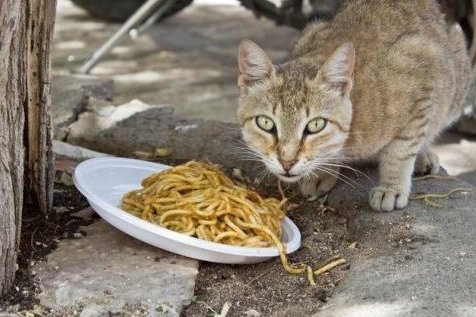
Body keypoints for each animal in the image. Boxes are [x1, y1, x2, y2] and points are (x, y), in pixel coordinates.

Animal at [236, 0, 470, 212]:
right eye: (265, 123)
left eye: (315, 125)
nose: (287, 163)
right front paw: (323, 173)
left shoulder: (423, 77)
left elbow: (401, 150)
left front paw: (391, 188)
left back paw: (423, 155)